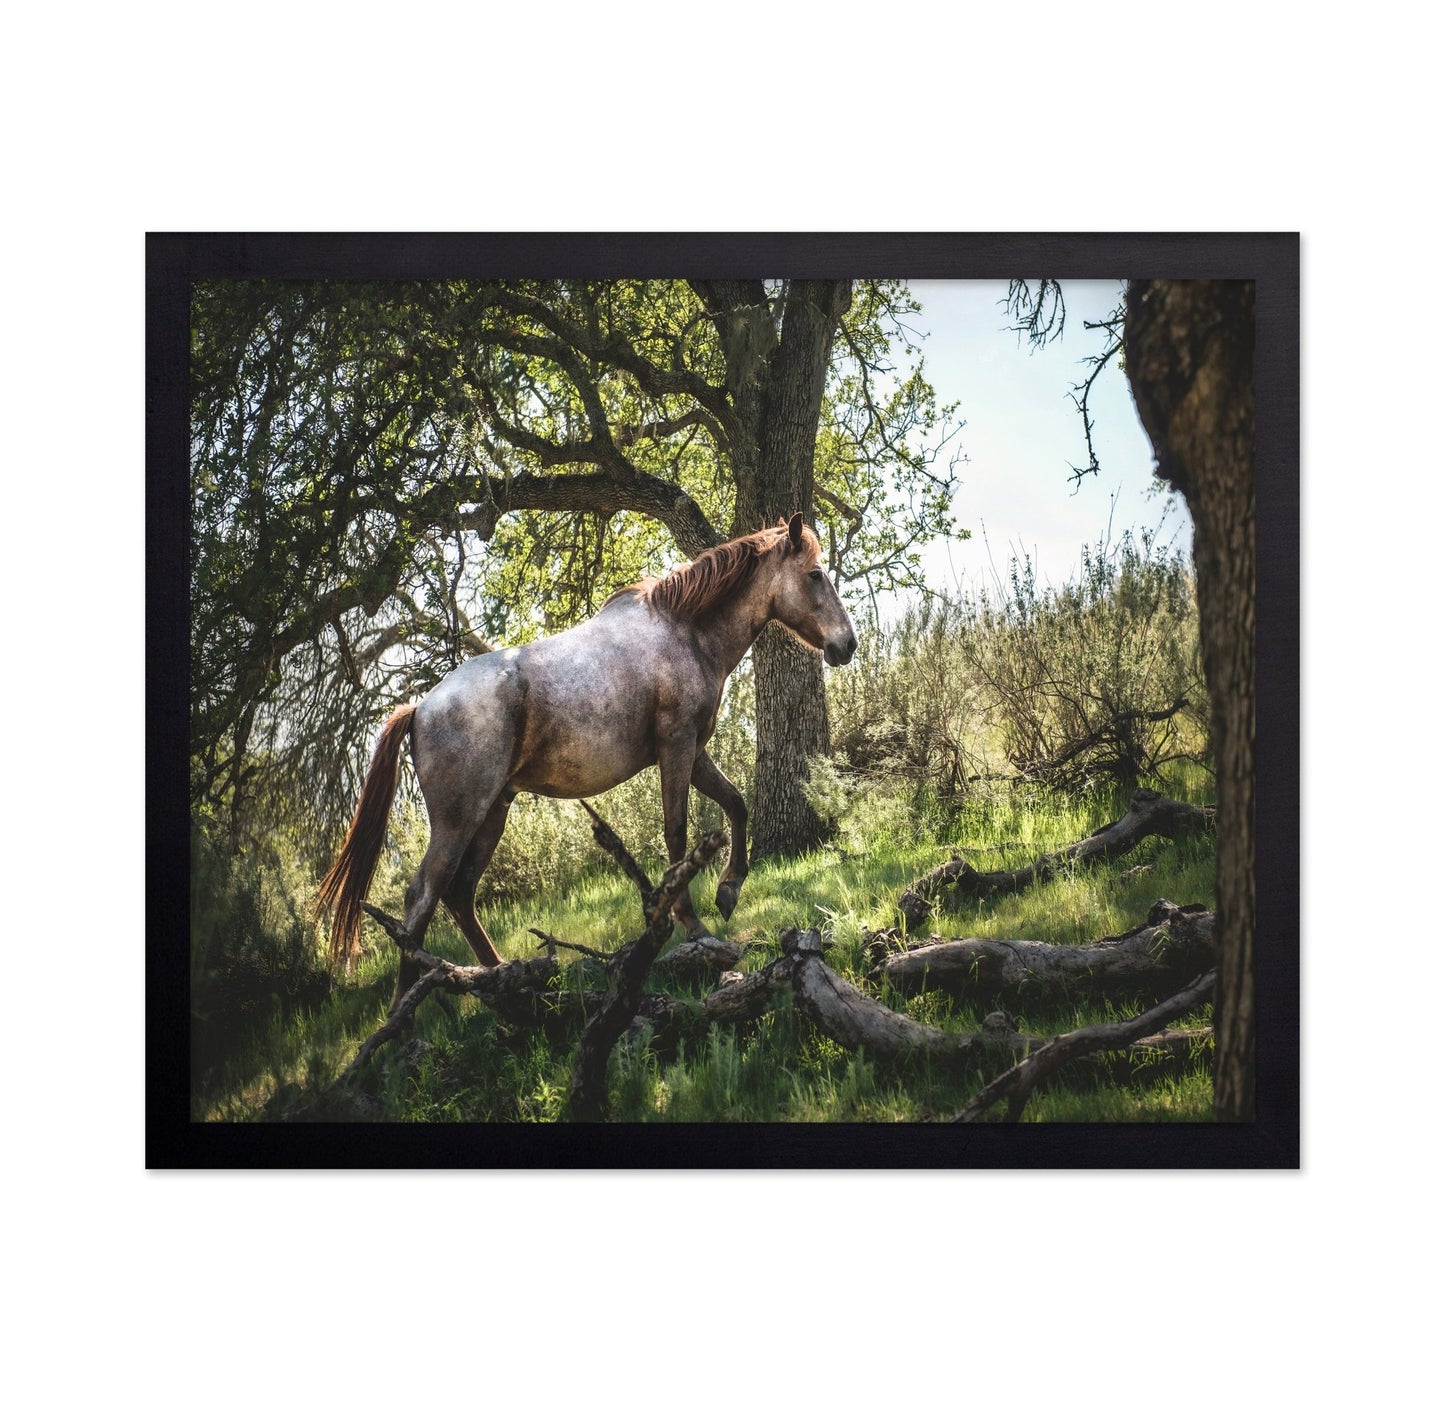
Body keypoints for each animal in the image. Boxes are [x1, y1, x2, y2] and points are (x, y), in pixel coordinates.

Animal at [317, 513, 858, 1013]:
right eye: (814, 574)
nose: (847, 644)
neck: (684, 631)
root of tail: (420, 708)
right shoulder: (677, 747)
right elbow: (677, 835)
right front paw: (694, 926)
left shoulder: (695, 751)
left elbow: (737, 805)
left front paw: (728, 890)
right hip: (458, 819)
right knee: (423, 896)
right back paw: (405, 1012)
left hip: (493, 810)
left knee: (460, 893)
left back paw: (506, 981)